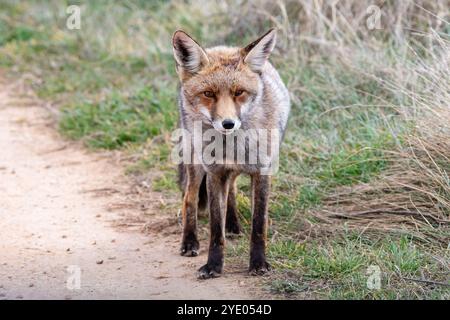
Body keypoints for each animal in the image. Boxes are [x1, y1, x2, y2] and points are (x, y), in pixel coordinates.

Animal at [172, 28, 292, 278]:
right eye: (208, 93)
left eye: (239, 93)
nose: (228, 124)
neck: (233, 147)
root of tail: (222, 46)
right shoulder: (215, 173)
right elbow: (215, 230)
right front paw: (213, 266)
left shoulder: (262, 172)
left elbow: (259, 225)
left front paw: (258, 263)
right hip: (195, 165)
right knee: (189, 198)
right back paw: (189, 242)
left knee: (233, 190)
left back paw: (233, 225)